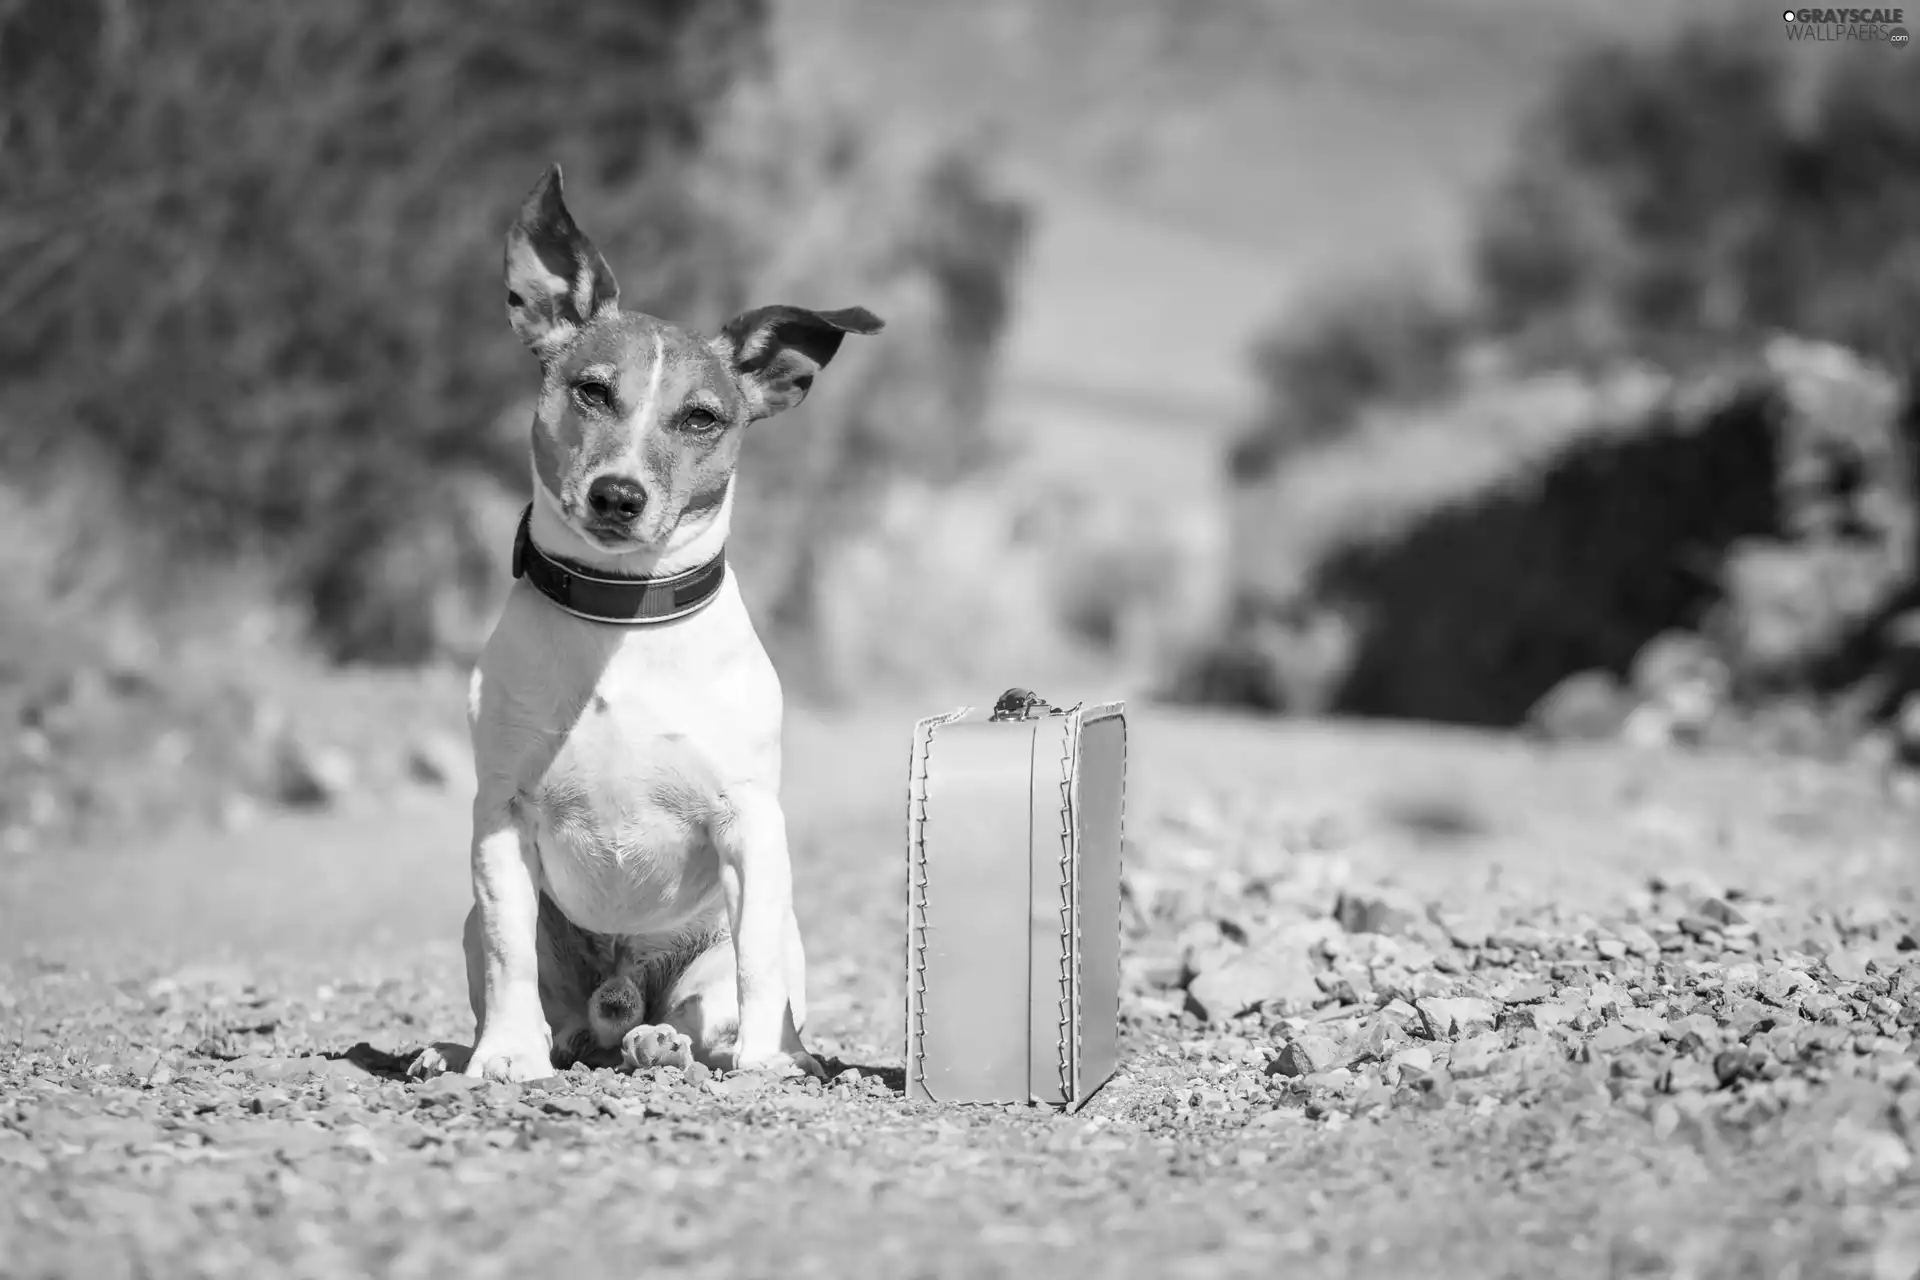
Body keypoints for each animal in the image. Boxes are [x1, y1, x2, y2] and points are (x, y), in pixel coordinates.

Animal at [420, 160, 883, 1082]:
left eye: (701, 417)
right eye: (593, 392)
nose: (618, 495)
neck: (622, 616)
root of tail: (620, 1001)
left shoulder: (751, 824)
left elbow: (756, 963)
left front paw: (765, 1063)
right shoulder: (501, 820)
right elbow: (508, 953)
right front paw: (503, 1058)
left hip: (741, 950)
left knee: (715, 1005)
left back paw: (679, 1043)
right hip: (489, 931)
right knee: (550, 1010)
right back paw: (473, 1049)